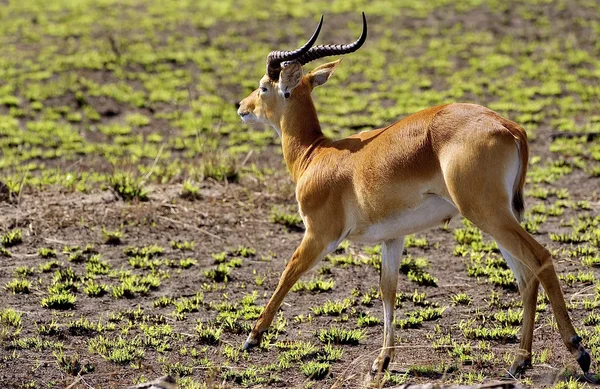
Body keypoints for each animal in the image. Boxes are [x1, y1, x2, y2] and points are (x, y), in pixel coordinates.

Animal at [237, 13, 592, 378]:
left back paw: (578, 351)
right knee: (524, 276)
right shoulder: (393, 237)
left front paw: (252, 337)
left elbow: (288, 272)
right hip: (498, 216)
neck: (316, 154)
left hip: (487, 213)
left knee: (540, 258)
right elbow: (387, 290)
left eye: (264, 86)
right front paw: (382, 360)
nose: (242, 106)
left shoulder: (320, 233)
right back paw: (520, 361)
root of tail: (509, 127)